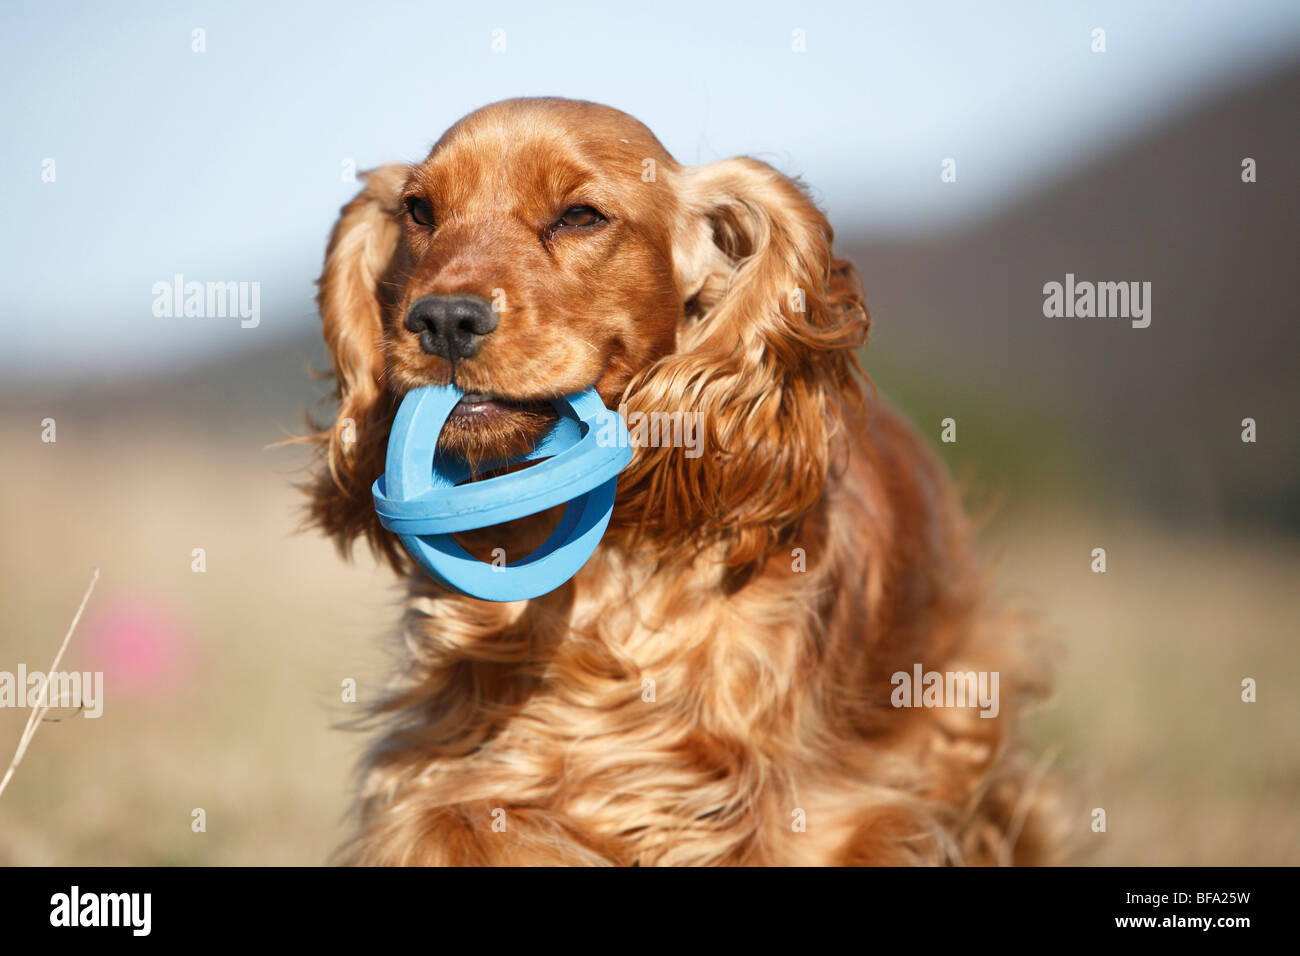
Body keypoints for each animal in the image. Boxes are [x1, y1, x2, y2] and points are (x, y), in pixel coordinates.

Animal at [309, 97, 1060, 868]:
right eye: (420, 210)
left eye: (580, 216)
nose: (443, 318)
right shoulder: (460, 776)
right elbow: (462, 822)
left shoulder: (806, 816)